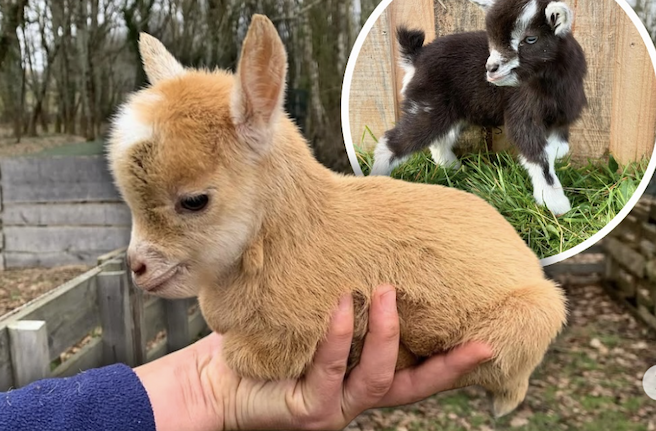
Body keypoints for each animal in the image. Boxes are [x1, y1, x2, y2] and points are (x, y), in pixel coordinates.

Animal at [108, 15, 567, 418]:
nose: (138, 268)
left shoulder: (295, 333)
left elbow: (247, 358)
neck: (288, 236)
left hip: (530, 319)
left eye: (194, 201)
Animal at [370, 0, 588, 216]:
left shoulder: (561, 118)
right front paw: (556, 204)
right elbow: (539, 158)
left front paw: (555, 157)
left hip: (449, 111)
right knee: (394, 141)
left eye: (531, 38)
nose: (491, 69)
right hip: (427, 106)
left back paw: (452, 168)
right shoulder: (523, 115)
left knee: (439, 139)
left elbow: (559, 148)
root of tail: (415, 58)